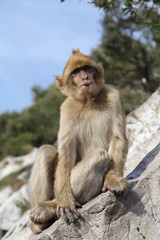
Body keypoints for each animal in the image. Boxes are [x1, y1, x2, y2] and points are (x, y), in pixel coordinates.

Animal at [28, 49, 128, 234]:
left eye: (87, 68)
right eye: (75, 72)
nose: (84, 77)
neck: (88, 101)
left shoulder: (113, 95)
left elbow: (118, 138)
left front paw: (113, 180)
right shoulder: (67, 109)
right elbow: (66, 152)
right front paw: (66, 202)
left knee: (99, 156)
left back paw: (49, 208)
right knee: (46, 151)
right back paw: (45, 213)